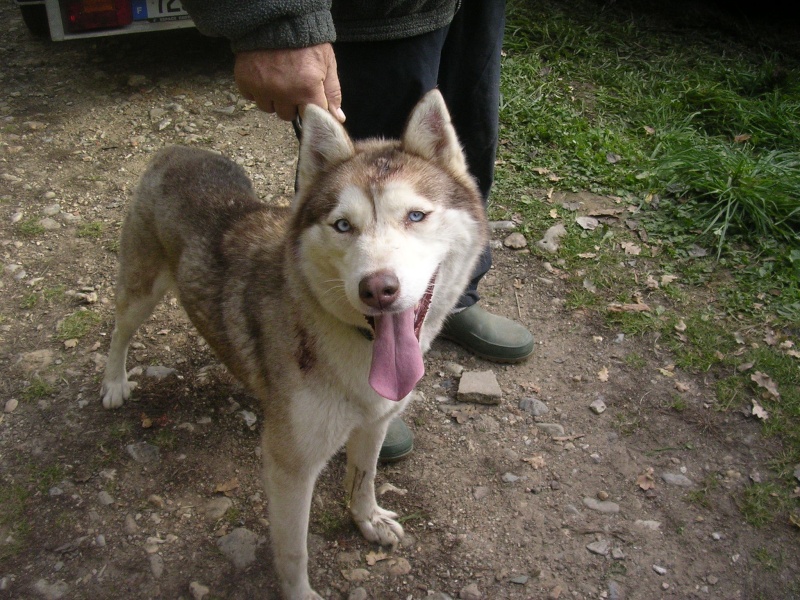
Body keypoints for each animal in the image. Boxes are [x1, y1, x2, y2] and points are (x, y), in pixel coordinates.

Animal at [100, 90, 488, 600]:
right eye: (343, 225)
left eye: (416, 215)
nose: (377, 289)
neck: (355, 343)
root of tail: (176, 150)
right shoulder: (290, 465)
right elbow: (293, 550)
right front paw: (301, 590)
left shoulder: (376, 422)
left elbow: (363, 478)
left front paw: (367, 520)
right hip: (141, 290)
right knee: (120, 331)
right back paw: (113, 383)